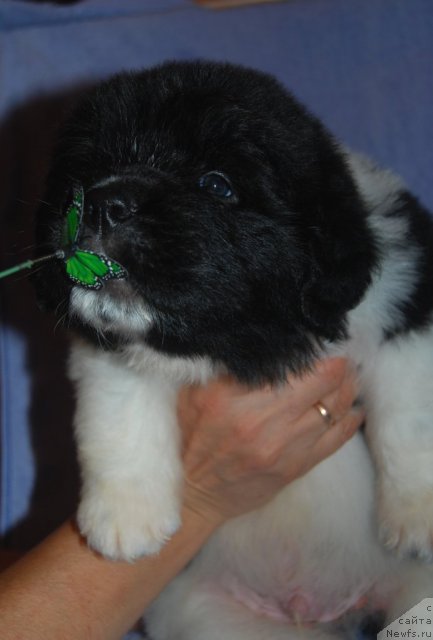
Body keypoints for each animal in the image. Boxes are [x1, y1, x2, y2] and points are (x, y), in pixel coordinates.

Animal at [33, 61, 432, 636]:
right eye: (86, 175)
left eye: (216, 185)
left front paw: (419, 515)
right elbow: (118, 416)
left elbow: (411, 415)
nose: (106, 204)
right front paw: (126, 517)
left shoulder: (407, 303)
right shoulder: (107, 348)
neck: (241, 343)